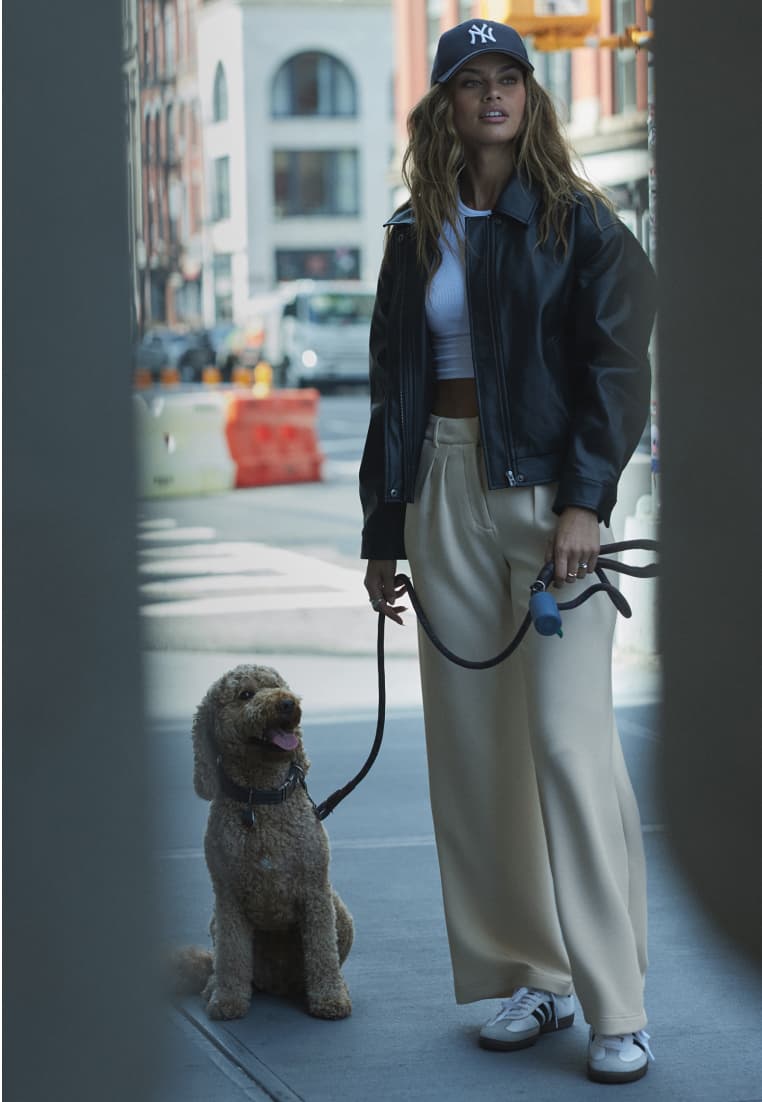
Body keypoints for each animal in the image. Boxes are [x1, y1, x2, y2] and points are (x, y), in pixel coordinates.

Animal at [178, 656, 355, 1018]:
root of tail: (277, 982)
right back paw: (214, 986)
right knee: (219, 961)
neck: (260, 798)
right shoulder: (227, 896)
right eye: (245, 694)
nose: (287, 703)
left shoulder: (316, 892)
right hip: (216, 920)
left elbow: (322, 951)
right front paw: (227, 1001)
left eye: (278, 685)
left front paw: (330, 998)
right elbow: (232, 955)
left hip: (340, 912)